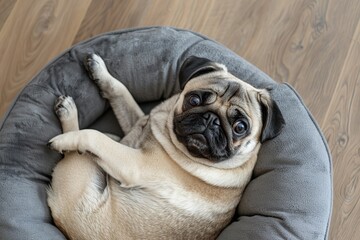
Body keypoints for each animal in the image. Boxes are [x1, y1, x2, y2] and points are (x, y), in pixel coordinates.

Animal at [47, 53, 284, 239]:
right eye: (194, 100)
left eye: (240, 127)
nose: (211, 120)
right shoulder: (138, 123)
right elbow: (121, 92)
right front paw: (100, 70)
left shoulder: (134, 163)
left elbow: (94, 137)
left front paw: (66, 138)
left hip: (81, 171)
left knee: (81, 149)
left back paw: (68, 117)